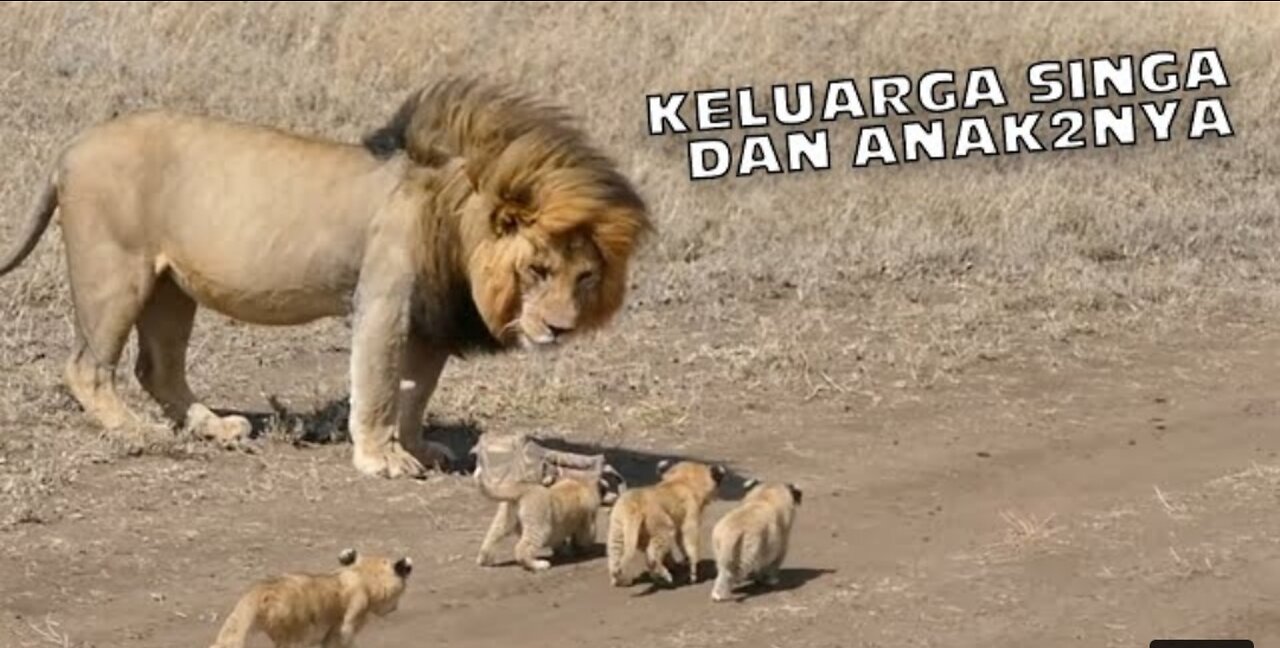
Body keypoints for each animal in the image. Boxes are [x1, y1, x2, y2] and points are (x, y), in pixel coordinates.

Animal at [2, 78, 650, 478]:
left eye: (584, 276)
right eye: (537, 269)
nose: (559, 329)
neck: (454, 216)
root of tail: (71, 148)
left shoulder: (427, 323)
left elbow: (415, 392)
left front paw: (417, 446)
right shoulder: (384, 300)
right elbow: (380, 385)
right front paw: (382, 459)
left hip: (171, 286)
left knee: (157, 368)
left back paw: (214, 426)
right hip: (117, 271)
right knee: (87, 367)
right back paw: (136, 431)